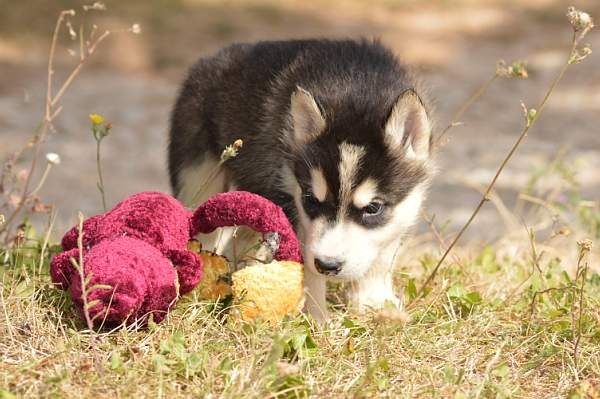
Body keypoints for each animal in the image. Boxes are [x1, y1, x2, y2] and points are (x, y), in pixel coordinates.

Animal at [169, 39, 436, 322]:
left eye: (373, 208)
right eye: (310, 199)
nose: (328, 265)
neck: (360, 88)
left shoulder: (404, 209)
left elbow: (383, 253)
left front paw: (375, 304)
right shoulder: (291, 203)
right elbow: (307, 267)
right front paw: (315, 319)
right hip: (198, 177)